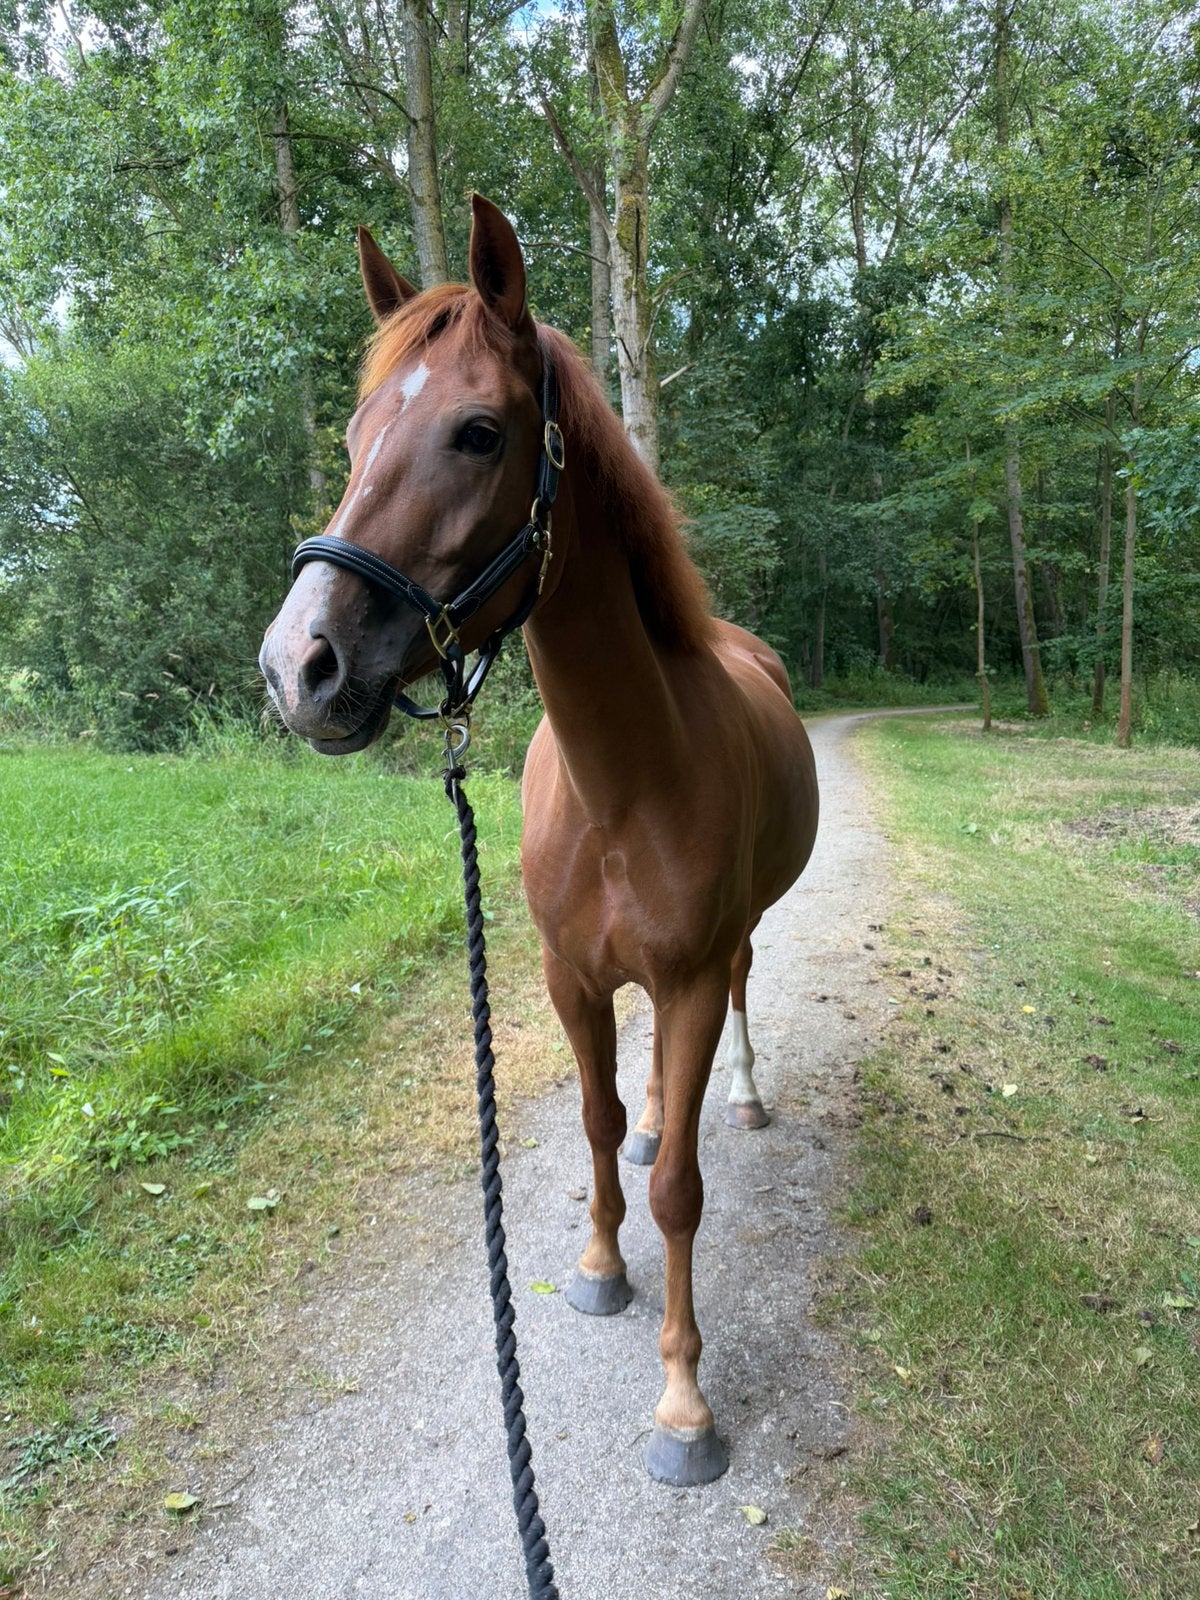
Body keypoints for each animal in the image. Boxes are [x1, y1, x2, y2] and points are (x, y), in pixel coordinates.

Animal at [259, 193, 819, 1487]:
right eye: (356, 432)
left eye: (477, 432)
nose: (298, 666)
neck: (627, 783)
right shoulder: (571, 979)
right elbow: (603, 1124)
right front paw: (602, 1268)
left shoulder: (686, 978)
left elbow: (680, 1191)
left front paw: (683, 1401)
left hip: (733, 949)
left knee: (744, 994)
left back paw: (744, 1093)